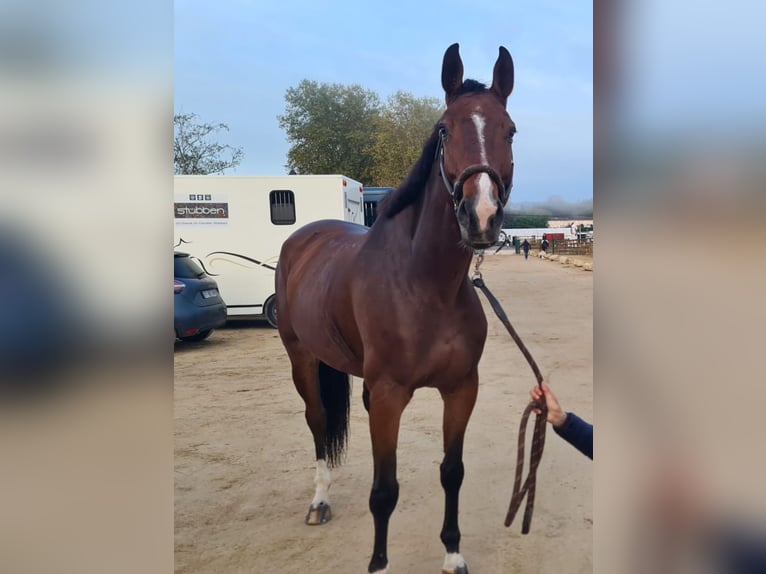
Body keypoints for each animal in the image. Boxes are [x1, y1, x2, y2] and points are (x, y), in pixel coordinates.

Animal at [274, 42, 516, 572]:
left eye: (510, 129)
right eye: (444, 129)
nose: (481, 217)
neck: (426, 286)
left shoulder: (461, 389)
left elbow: (452, 471)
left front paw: (453, 554)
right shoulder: (389, 394)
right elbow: (384, 491)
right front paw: (379, 563)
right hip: (302, 359)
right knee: (318, 421)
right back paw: (319, 501)